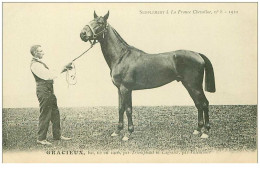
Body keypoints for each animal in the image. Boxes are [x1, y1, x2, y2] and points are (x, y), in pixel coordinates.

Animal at [79, 11, 215, 141]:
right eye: (91, 20)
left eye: (100, 23)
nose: (82, 34)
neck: (121, 56)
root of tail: (197, 54)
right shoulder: (119, 89)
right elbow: (120, 108)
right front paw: (117, 131)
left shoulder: (126, 89)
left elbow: (128, 110)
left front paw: (128, 133)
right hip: (188, 85)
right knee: (198, 104)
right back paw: (198, 129)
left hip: (194, 85)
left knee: (204, 103)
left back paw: (206, 132)